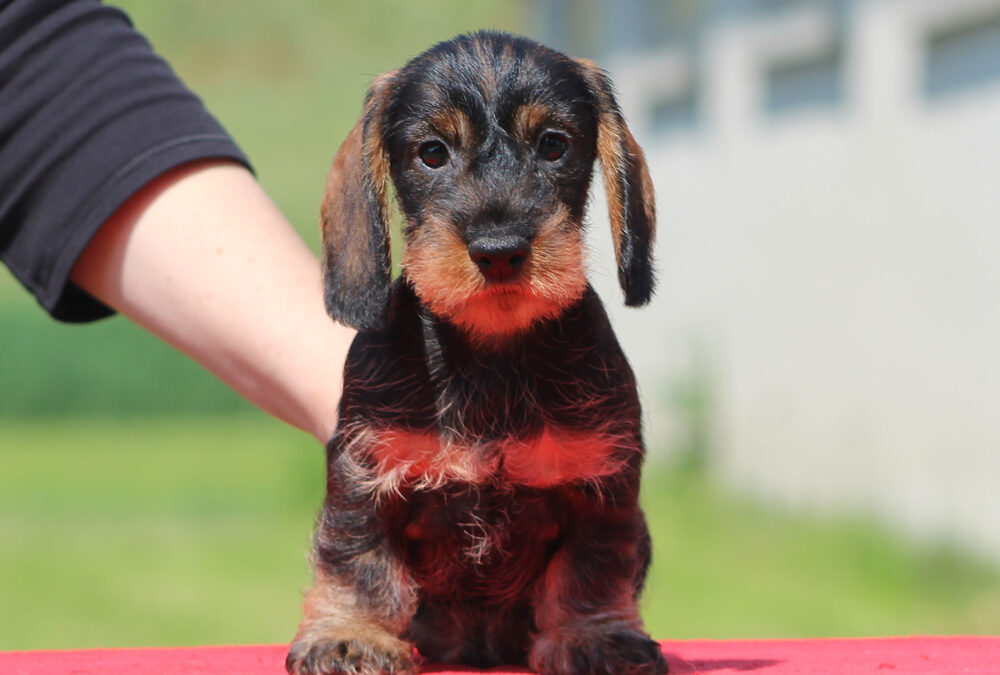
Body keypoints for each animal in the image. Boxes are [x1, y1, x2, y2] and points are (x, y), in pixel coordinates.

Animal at [286, 30, 668, 675]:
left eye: (554, 145)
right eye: (432, 153)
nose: (498, 250)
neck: (493, 354)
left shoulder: (601, 484)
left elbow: (591, 571)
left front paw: (596, 636)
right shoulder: (366, 473)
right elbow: (359, 561)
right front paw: (351, 634)